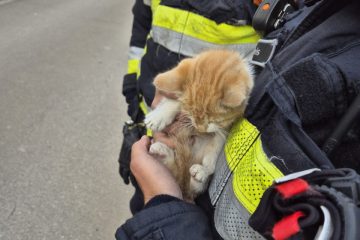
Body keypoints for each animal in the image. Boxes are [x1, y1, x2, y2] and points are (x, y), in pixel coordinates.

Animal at [144, 49, 253, 201]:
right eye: (191, 113)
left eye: (214, 120)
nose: (200, 129)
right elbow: (177, 101)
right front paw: (159, 116)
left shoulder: (227, 126)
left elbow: (218, 140)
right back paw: (162, 152)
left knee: (193, 182)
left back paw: (199, 174)